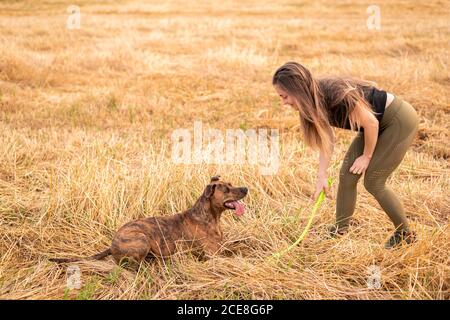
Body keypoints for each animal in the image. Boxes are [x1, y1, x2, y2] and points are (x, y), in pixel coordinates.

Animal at [50, 176, 248, 266]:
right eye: (226, 189)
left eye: (232, 184)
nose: (245, 188)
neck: (210, 217)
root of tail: (112, 244)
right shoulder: (213, 255)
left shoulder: (221, 248)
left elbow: (237, 249)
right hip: (142, 238)